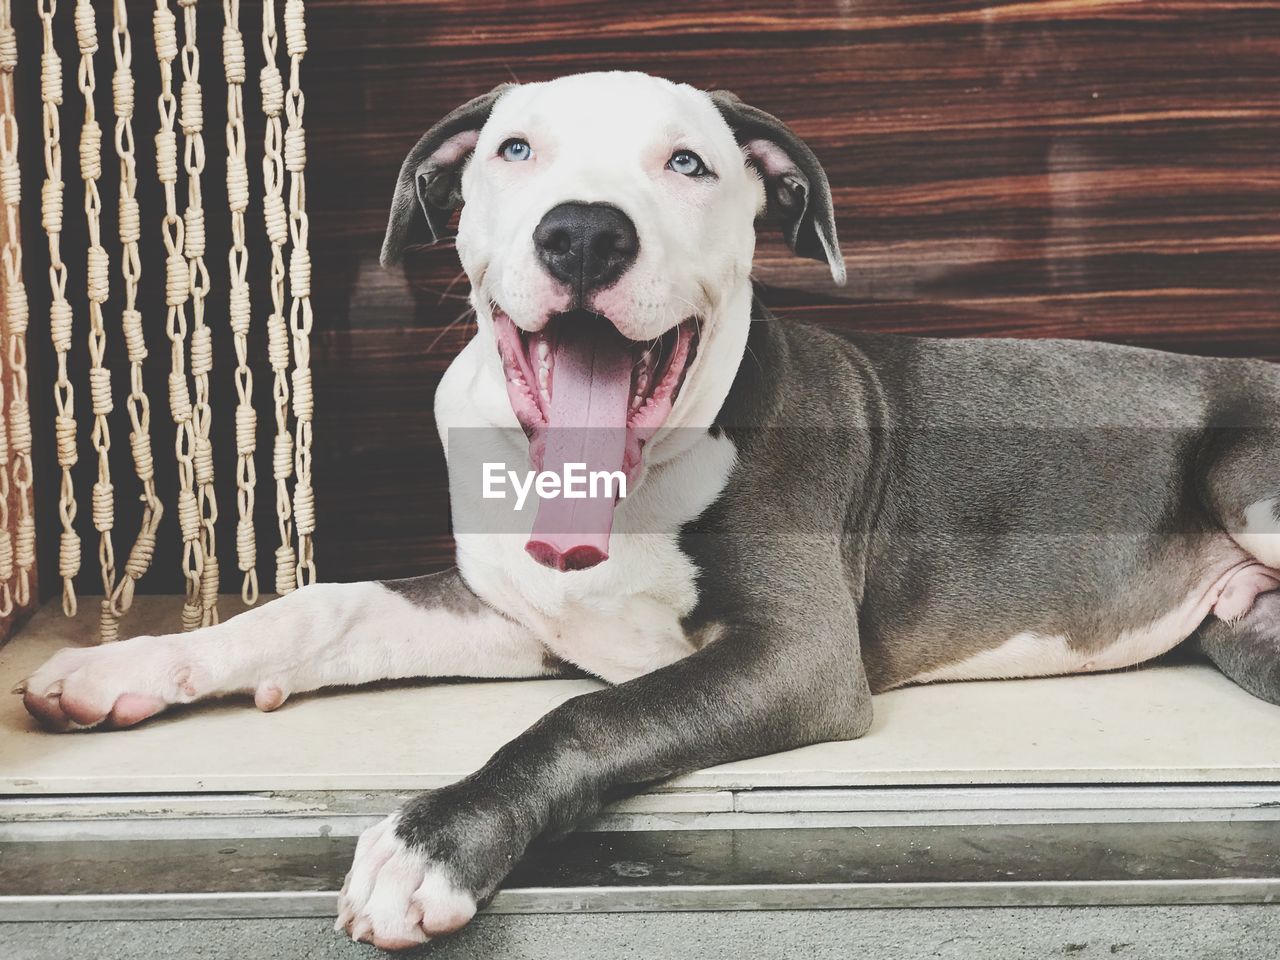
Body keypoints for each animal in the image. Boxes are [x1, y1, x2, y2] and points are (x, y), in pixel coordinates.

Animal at [12, 71, 1280, 952]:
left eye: (689, 164)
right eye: (513, 150)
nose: (582, 230)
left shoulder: (795, 656)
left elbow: (583, 720)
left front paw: (430, 844)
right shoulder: (505, 607)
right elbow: (315, 610)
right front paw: (121, 668)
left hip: (1242, 470)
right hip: (1242, 634)